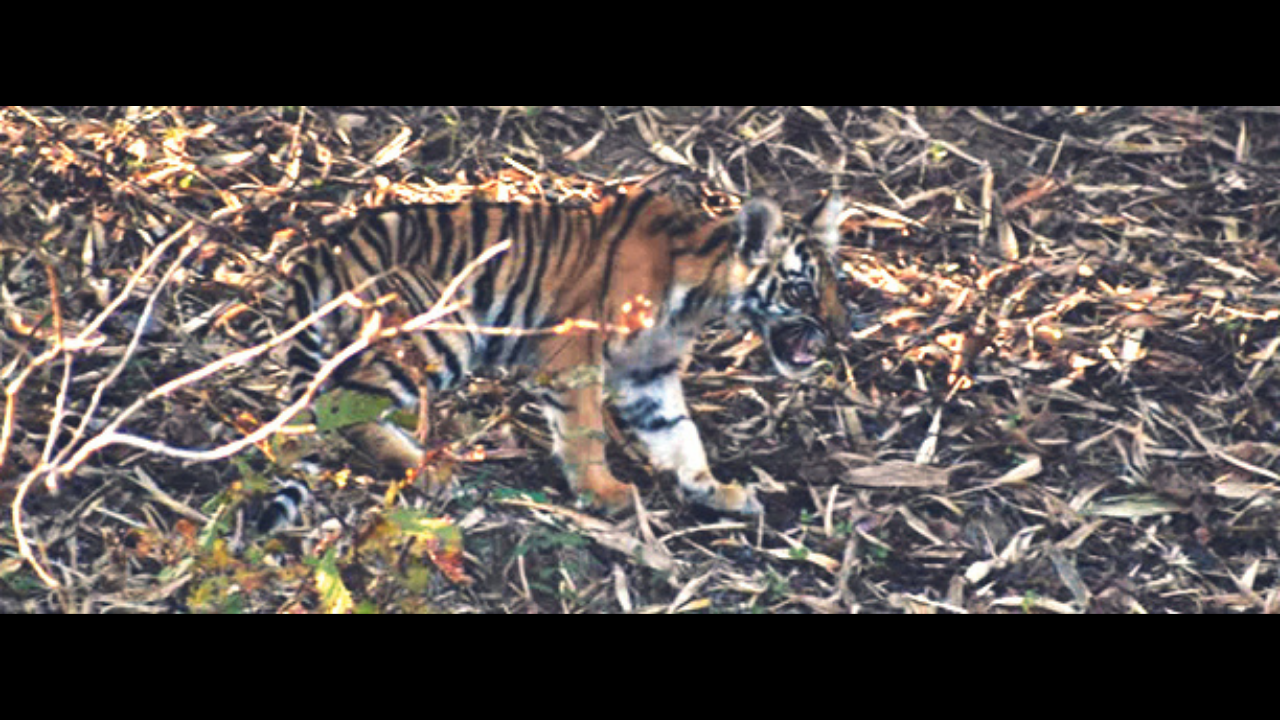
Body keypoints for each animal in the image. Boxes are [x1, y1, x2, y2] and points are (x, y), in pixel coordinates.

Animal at [281, 187, 849, 521]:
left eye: (834, 285)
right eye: (802, 291)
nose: (840, 330)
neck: (699, 296)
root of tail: (326, 244)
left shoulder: (650, 375)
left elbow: (681, 436)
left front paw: (715, 492)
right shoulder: (574, 353)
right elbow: (584, 430)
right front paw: (604, 493)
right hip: (439, 331)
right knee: (340, 406)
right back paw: (428, 469)